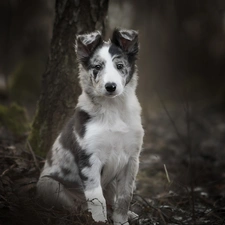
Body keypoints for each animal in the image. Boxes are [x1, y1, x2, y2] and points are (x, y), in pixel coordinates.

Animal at [36, 29, 143, 224]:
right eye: (97, 67)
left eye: (120, 65)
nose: (110, 87)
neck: (113, 109)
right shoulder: (89, 158)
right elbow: (96, 199)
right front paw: (99, 221)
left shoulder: (132, 159)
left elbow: (125, 196)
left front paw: (122, 220)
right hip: (48, 184)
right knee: (77, 206)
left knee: (112, 200)